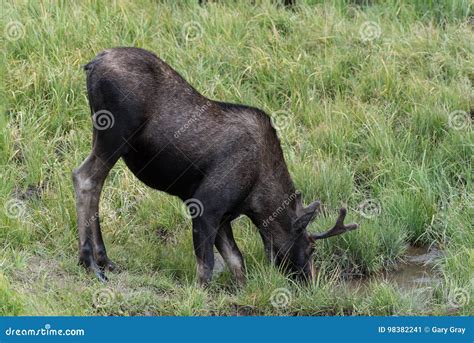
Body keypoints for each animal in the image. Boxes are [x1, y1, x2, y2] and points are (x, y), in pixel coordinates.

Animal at [72, 47, 358, 286]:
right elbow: (207, 266)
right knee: (85, 177)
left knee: (94, 182)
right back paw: (90, 262)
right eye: (310, 248)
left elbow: (236, 261)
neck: (257, 201)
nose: (311, 282)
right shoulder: (204, 205)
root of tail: (92, 64)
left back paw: (103, 259)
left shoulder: (223, 217)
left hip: (105, 136)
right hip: (115, 133)